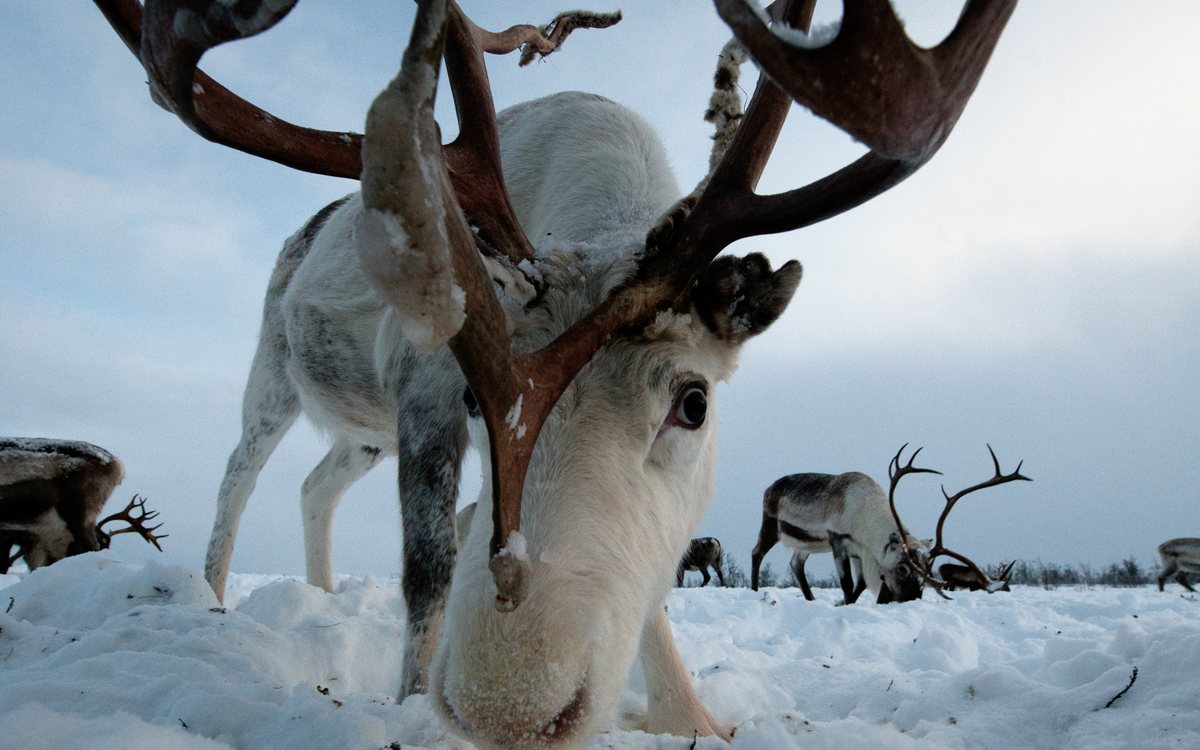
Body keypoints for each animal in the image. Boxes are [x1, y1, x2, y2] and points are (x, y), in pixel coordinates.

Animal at [750, 471, 929, 604]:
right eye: (902, 568)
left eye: (926, 568)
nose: (912, 598)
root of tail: (768, 489)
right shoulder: (838, 541)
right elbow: (847, 583)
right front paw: (845, 603)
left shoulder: (858, 551)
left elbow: (861, 583)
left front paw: (841, 603)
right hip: (771, 527)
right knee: (757, 553)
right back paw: (754, 590)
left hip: (805, 545)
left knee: (796, 564)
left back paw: (811, 599)